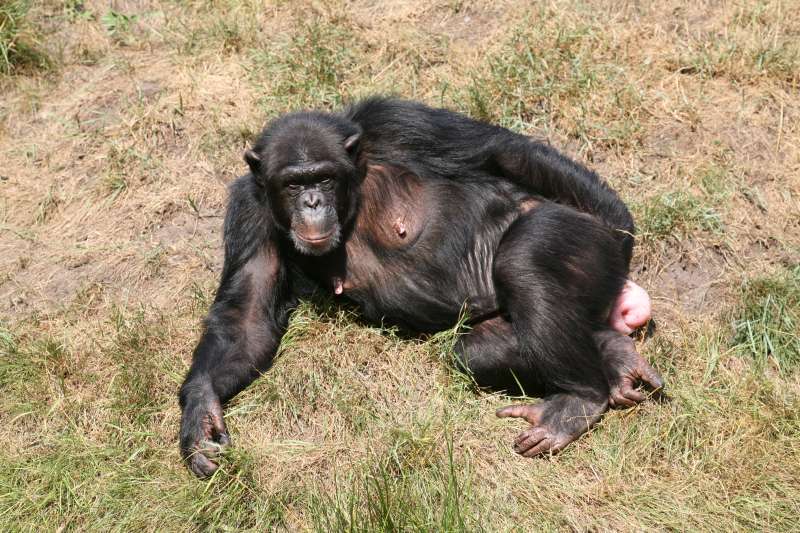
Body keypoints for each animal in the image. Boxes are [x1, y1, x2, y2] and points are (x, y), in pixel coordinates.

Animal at [180, 96, 664, 478]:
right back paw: (613, 356)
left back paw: (579, 399)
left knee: (526, 260)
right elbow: (247, 318)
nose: (312, 201)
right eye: (293, 183)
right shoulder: (249, 209)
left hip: (578, 238)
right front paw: (200, 412)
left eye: (323, 178)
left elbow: (503, 151)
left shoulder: (397, 121)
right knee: (479, 350)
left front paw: (619, 225)